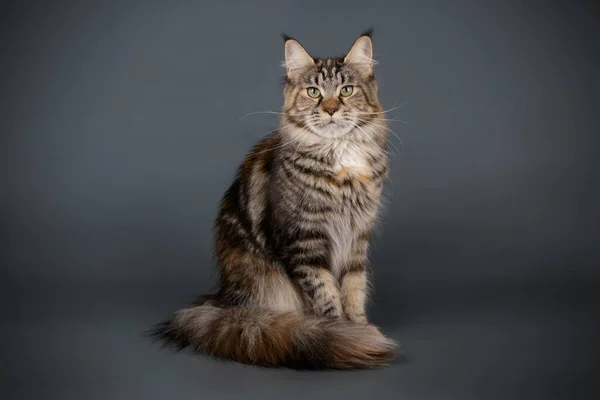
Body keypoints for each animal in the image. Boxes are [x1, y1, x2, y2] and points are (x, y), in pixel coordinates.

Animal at [151, 29, 398, 370]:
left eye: (346, 90)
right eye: (313, 92)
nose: (331, 109)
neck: (340, 157)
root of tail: (224, 301)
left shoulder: (357, 236)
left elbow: (353, 288)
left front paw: (359, 325)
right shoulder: (303, 240)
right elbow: (325, 292)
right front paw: (341, 332)